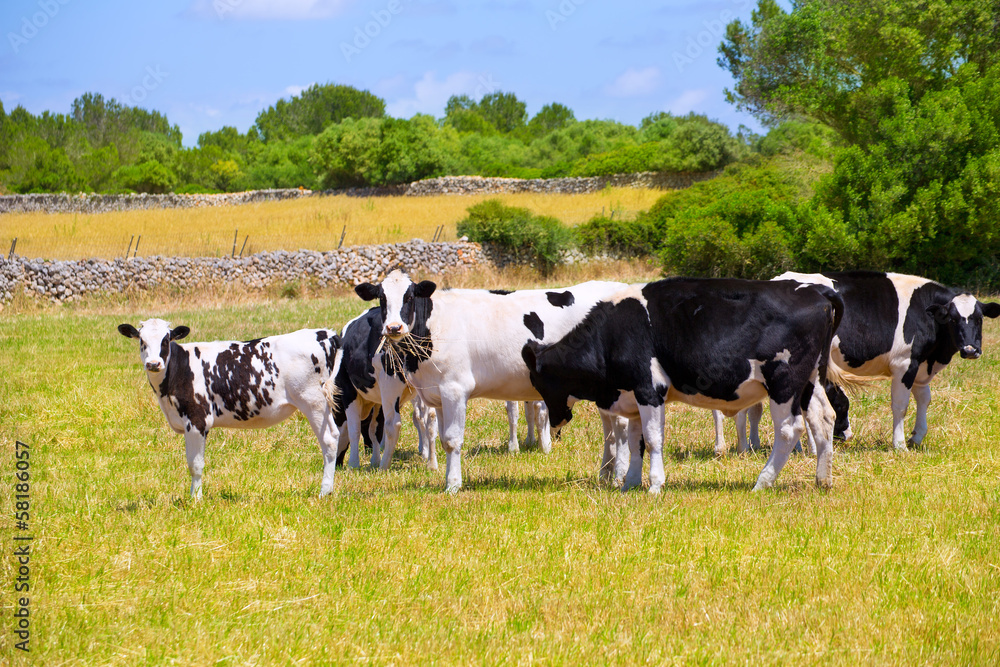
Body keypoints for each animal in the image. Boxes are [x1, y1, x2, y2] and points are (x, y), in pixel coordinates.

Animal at [116, 320, 344, 498]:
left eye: (166, 340)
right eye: (142, 341)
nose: (153, 364)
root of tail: (325, 333)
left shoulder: (197, 420)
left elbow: (195, 464)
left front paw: (195, 499)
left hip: (312, 400)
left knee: (328, 440)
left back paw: (324, 491)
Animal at [356, 268, 628, 494]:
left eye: (410, 297)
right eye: (382, 299)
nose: (393, 327)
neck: (434, 327)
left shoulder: (455, 389)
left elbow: (452, 440)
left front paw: (453, 486)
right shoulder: (438, 394)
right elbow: (443, 440)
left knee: (621, 426)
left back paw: (619, 476)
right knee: (609, 430)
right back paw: (605, 473)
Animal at [520, 280, 856, 494]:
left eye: (538, 381)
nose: (555, 420)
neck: (613, 334)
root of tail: (816, 290)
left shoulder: (649, 389)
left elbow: (653, 440)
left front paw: (655, 485)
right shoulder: (633, 398)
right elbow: (635, 441)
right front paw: (630, 484)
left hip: (784, 381)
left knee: (789, 429)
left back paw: (762, 482)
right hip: (810, 381)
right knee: (823, 419)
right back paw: (822, 480)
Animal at [736, 272, 1000, 454]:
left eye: (979, 318)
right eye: (953, 319)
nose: (970, 350)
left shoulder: (920, 365)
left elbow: (925, 399)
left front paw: (917, 437)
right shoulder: (904, 364)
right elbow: (900, 406)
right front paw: (900, 445)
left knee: (754, 406)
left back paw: (754, 445)